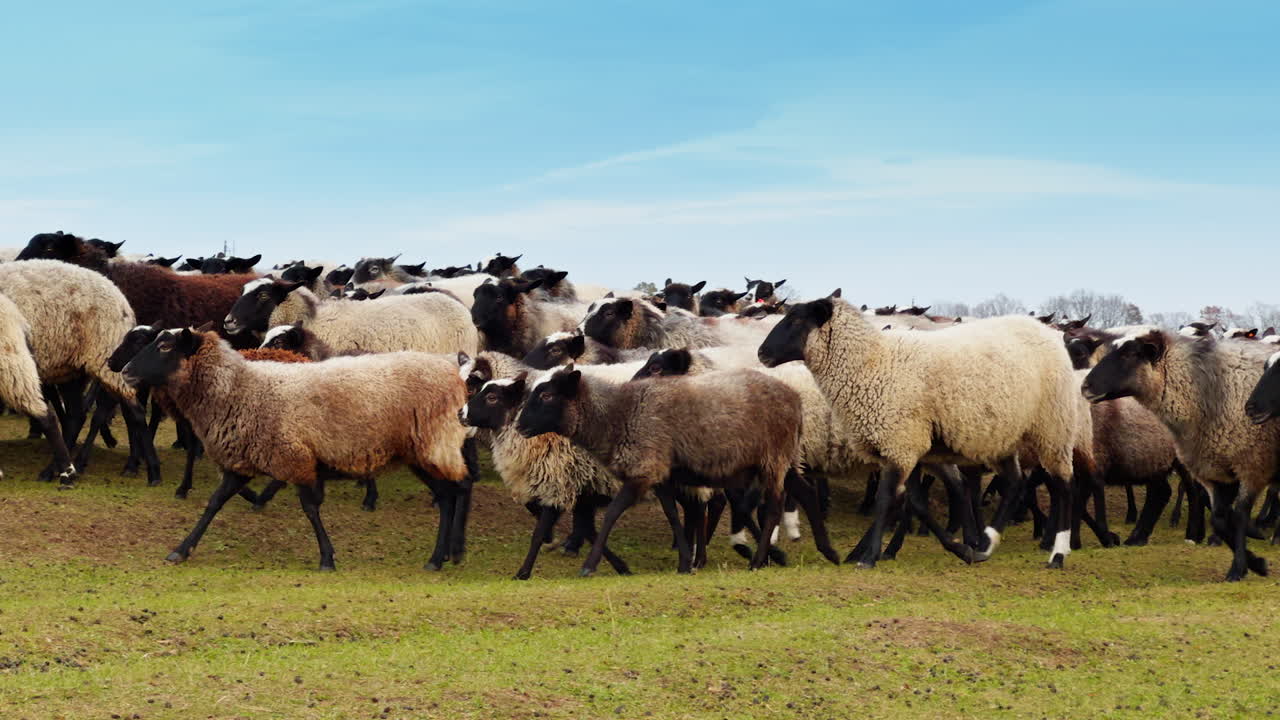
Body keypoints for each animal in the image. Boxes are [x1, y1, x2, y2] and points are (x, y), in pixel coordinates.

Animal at [0, 259, 156, 485]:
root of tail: (123, 300)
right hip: (72, 372)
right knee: (76, 416)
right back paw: (55, 470)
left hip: (109, 361)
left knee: (134, 411)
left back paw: (140, 468)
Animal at [121, 328, 473, 571]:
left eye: (165, 346)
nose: (124, 371)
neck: (241, 390)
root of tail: (453, 372)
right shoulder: (244, 461)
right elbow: (214, 503)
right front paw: (181, 549)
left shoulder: (296, 458)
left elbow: (310, 509)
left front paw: (327, 558)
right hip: (420, 452)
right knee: (449, 495)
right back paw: (445, 555)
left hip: (434, 445)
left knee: (458, 490)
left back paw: (446, 553)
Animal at [516, 365, 840, 576]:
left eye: (546, 395)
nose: (519, 426)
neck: (619, 414)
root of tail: (795, 398)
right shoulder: (661, 474)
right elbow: (673, 515)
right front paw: (685, 563)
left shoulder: (643, 469)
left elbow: (611, 514)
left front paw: (589, 566)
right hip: (784, 457)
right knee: (806, 493)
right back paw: (829, 551)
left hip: (773, 457)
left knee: (773, 506)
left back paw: (757, 562)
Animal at [759, 294, 1081, 569]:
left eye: (797, 321)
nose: (762, 353)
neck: (871, 364)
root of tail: (1045, 330)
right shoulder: (908, 447)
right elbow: (915, 503)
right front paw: (961, 549)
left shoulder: (900, 443)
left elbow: (886, 501)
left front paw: (869, 557)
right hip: (1002, 436)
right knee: (1014, 484)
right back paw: (986, 545)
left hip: (1054, 427)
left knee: (1064, 486)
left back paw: (1058, 553)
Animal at [1084, 328, 1276, 581]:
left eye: (1129, 354)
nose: (1085, 386)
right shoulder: (1216, 470)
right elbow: (1220, 519)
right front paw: (1254, 561)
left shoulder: (1252, 465)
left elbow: (1239, 515)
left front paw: (1239, 568)